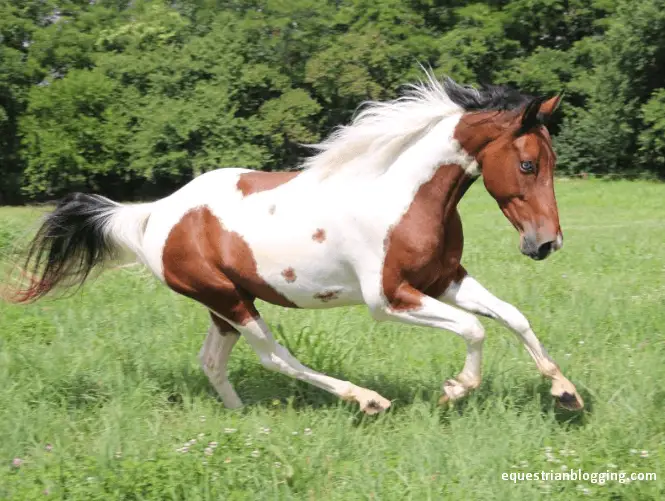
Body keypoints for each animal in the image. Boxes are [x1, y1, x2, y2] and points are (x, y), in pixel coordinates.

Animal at [7, 71, 584, 414]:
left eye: (551, 161)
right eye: (528, 164)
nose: (546, 244)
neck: (402, 194)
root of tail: (152, 214)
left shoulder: (444, 280)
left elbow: (512, 317)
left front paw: (567, 393)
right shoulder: (389, 299)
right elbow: (473, 329)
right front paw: (455, 390)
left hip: (224, 303)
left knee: (212, 361)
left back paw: (240, 417)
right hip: (230, 300)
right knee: (274, 357)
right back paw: (366, 400)